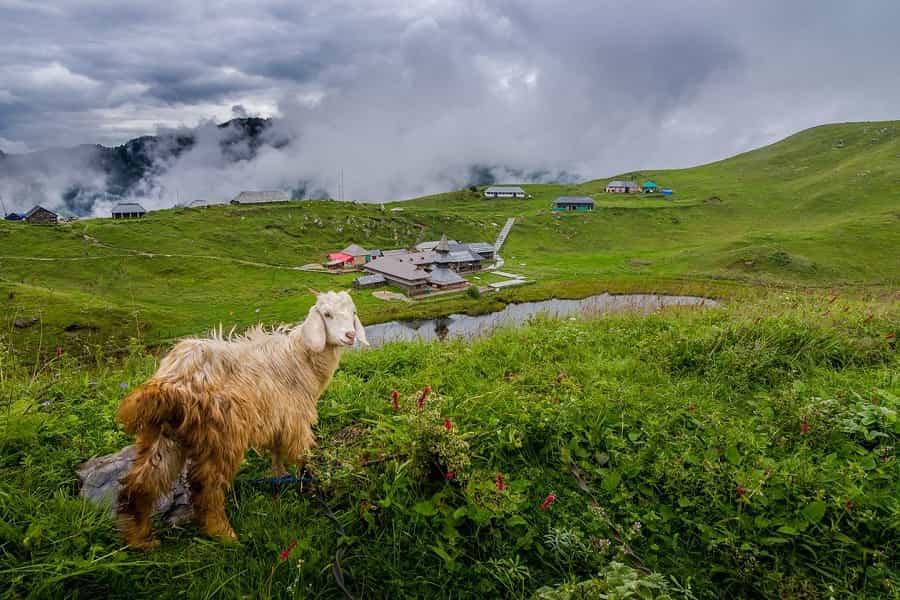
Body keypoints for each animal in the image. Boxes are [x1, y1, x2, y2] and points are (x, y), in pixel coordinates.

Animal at [115, 290, 366, 548]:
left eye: (353, 312)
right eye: (327, 314)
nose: (350, 335)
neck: (300, 358)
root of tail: (173, 382)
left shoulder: (277, 420)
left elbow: (277, 454)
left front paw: (279, 477)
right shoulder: (295, 420)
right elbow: (301, 456)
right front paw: (308, 484)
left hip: (164, 435)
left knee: (141, 483)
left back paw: (140, 539)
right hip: (223, 435)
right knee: (206, 487)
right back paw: (225, 535)